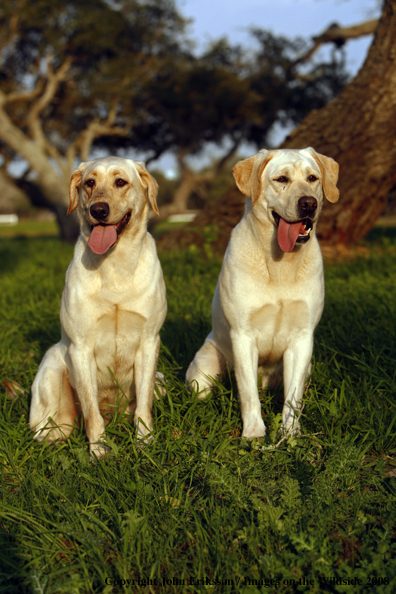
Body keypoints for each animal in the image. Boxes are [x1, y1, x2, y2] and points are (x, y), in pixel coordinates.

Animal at [29, 155, 167, 456]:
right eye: (89, 183)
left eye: (120, 182)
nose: (99, 210)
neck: (115, 264)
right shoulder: (80, 348)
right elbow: (91, 411)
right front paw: (99, 451)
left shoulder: (149, 342)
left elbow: (143, 406)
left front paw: (144, 442)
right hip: (52, 369)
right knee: (51, 431)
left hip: (162, 380)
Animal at [187, 147, 338, 434]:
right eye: (281, 179)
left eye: (312, 178)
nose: (309, 203)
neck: (280, 266)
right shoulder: (243, 335)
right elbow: (248, 394)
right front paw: (254, 434)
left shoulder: (302, 338)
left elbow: (292, 397)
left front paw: (289, 434)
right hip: (202, 372)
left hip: (308, 367)